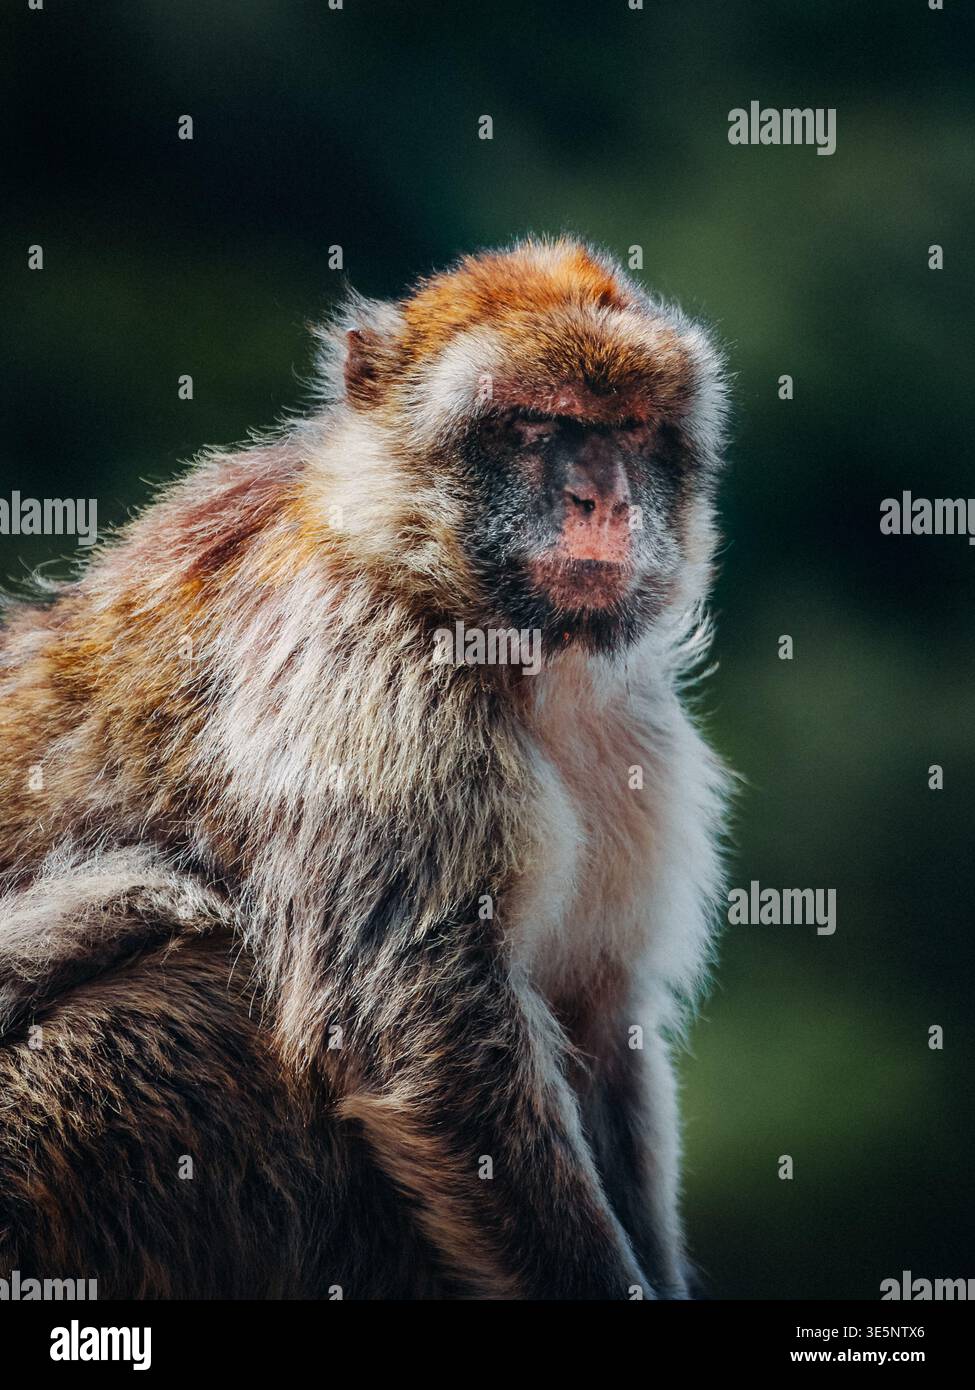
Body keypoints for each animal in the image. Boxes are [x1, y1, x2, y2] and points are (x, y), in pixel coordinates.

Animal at [0, 236, 730, 1300]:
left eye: (629, 428)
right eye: (537, 424)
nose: (604, 499)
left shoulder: (630, 733)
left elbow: (601, 1016)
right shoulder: (365, 667)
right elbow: (418, 1027)